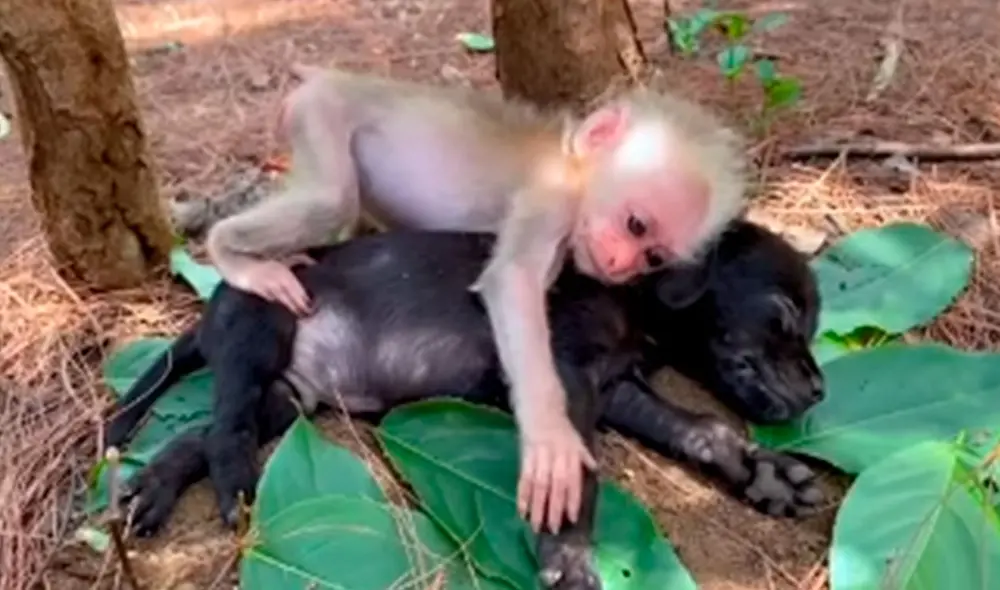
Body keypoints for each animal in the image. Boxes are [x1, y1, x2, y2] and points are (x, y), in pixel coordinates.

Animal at [107, 220, 823, 588]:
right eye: (784, 318)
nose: (820, 391)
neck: (632, 292)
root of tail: (213, 303)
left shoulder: (617, 386)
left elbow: (698, 426)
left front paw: (762, 470)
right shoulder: (565, 378)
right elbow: (578, 479)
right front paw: (569, 560)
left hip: (288, 397)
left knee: (196, 434)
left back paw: (151, 490)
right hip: (261, 328)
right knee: (224, 428)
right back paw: (233, 490)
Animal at [205, 66, 748, 532]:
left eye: (653, 256)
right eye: (636, 224)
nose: (620, 265)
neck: (572, 166)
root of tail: (325, 79)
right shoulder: (551, 199)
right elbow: (512, 281)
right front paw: (551, 439)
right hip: (320, 114)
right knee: (331, 200)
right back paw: (233, 255)